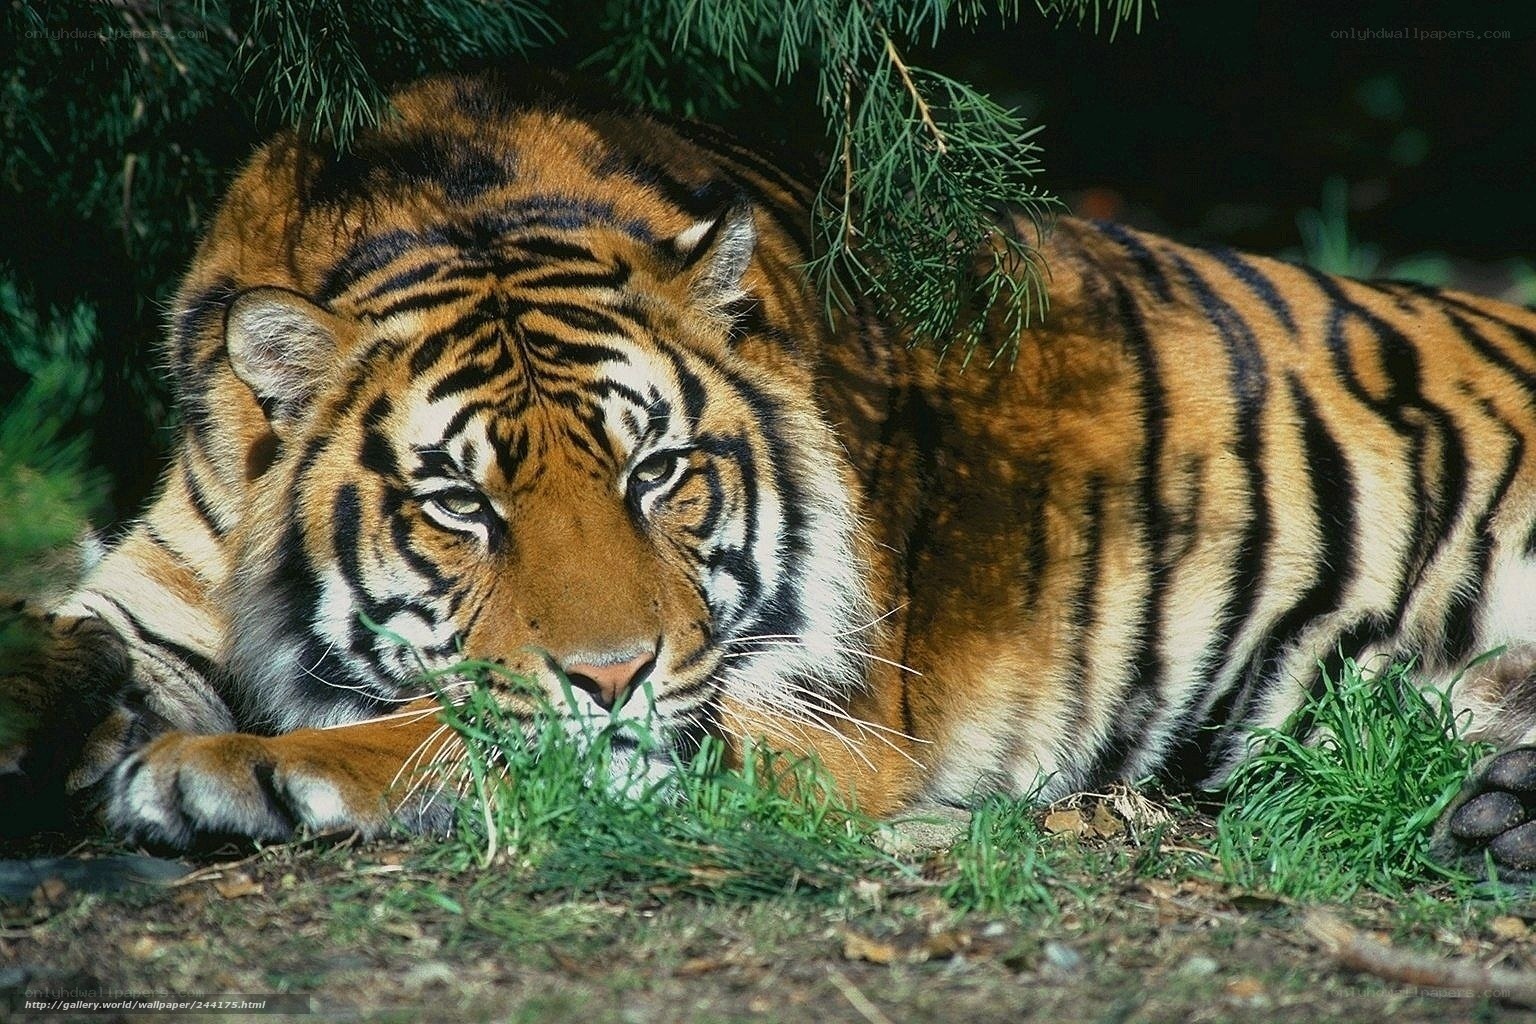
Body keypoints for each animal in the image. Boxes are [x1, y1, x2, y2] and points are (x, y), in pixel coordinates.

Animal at [3, 71, 1536, 878]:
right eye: (461, 505)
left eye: (658, 472)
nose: (613, 672)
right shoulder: (149, 593)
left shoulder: (811, 719)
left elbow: (458, 730)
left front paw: (209, 772)